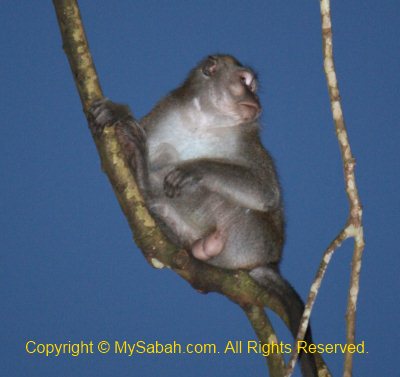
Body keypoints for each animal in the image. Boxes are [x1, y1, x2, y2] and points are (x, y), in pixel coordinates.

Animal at [90, 54, 318, 374]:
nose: (256, 99)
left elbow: (265, 192)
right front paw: (118, 113)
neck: (204, 120)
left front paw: (194, 169)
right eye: (244, 81)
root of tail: (268, 262)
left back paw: (146, 180)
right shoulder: (165, 110)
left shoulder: (248, 139)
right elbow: (111, 162)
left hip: (246, 233)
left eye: (252, 85)